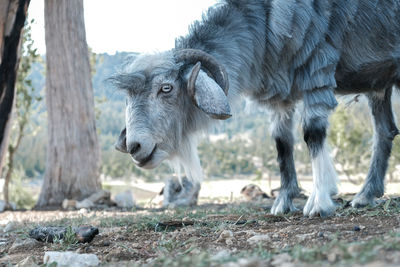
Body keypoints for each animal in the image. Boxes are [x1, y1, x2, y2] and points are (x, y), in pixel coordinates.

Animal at [111, 0, 400, 218]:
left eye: (166, 88)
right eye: (127, 98)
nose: (134, 146)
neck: (263, 21)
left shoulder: (317, 71)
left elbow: (312, 136)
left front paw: (319, 202)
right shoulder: (280, 96)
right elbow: (282, 145)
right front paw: (282, 203)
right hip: (379, 84)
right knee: (385, 132)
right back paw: (365, 196)